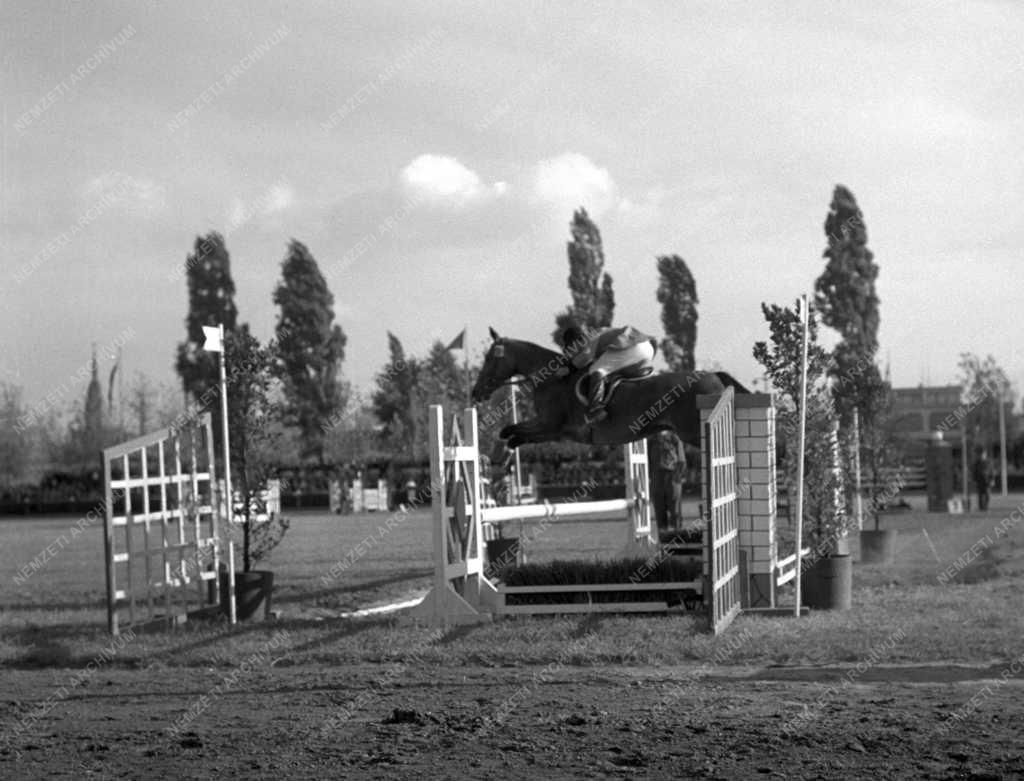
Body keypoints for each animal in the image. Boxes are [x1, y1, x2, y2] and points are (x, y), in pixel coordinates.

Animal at [471, 327, 753, 448]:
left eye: (490, 358)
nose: (476, 392)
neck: (552, 380)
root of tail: (714, 376)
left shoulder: (550, 424)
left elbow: (511, 430)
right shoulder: (556, 432)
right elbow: (516, 434)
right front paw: (508, 449)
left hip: (694, 432)